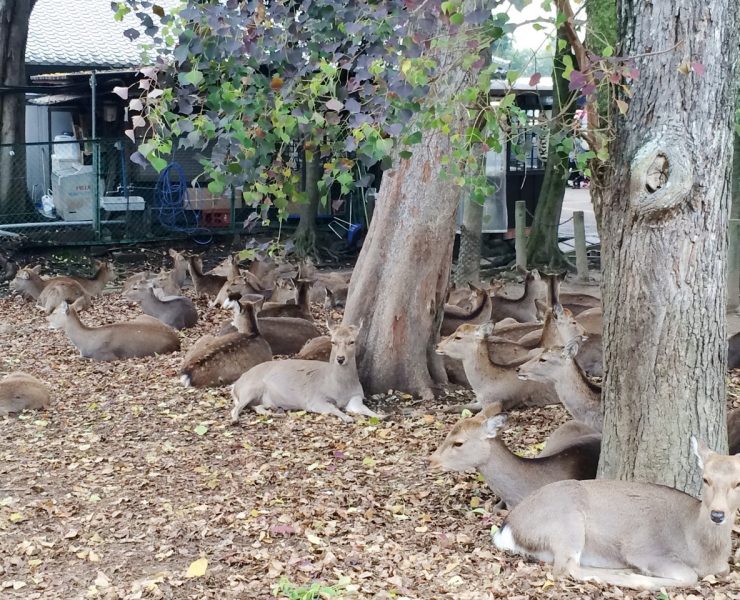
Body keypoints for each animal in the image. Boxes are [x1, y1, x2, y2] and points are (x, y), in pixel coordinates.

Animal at [230, 321, 381, 424]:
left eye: (352, 341)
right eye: (333, 342)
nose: (340, 358)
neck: (339, 388)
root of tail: (235, 385)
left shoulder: (357, 396)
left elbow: (365, 409)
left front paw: (381, 415)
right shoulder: (314, 399)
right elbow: (334, 409)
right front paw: (348, 418)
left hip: (263, 399)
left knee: (256, 407)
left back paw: (276, 413)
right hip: (250, 388)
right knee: (237, 407)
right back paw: (235, 420)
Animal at [493, 438, 740, 590]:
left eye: (738, 482)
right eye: (705, 479)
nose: (717, 514)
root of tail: (507, 528)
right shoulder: (646, 550)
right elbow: (689, 576)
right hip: (567, 523)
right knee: (567, 567)